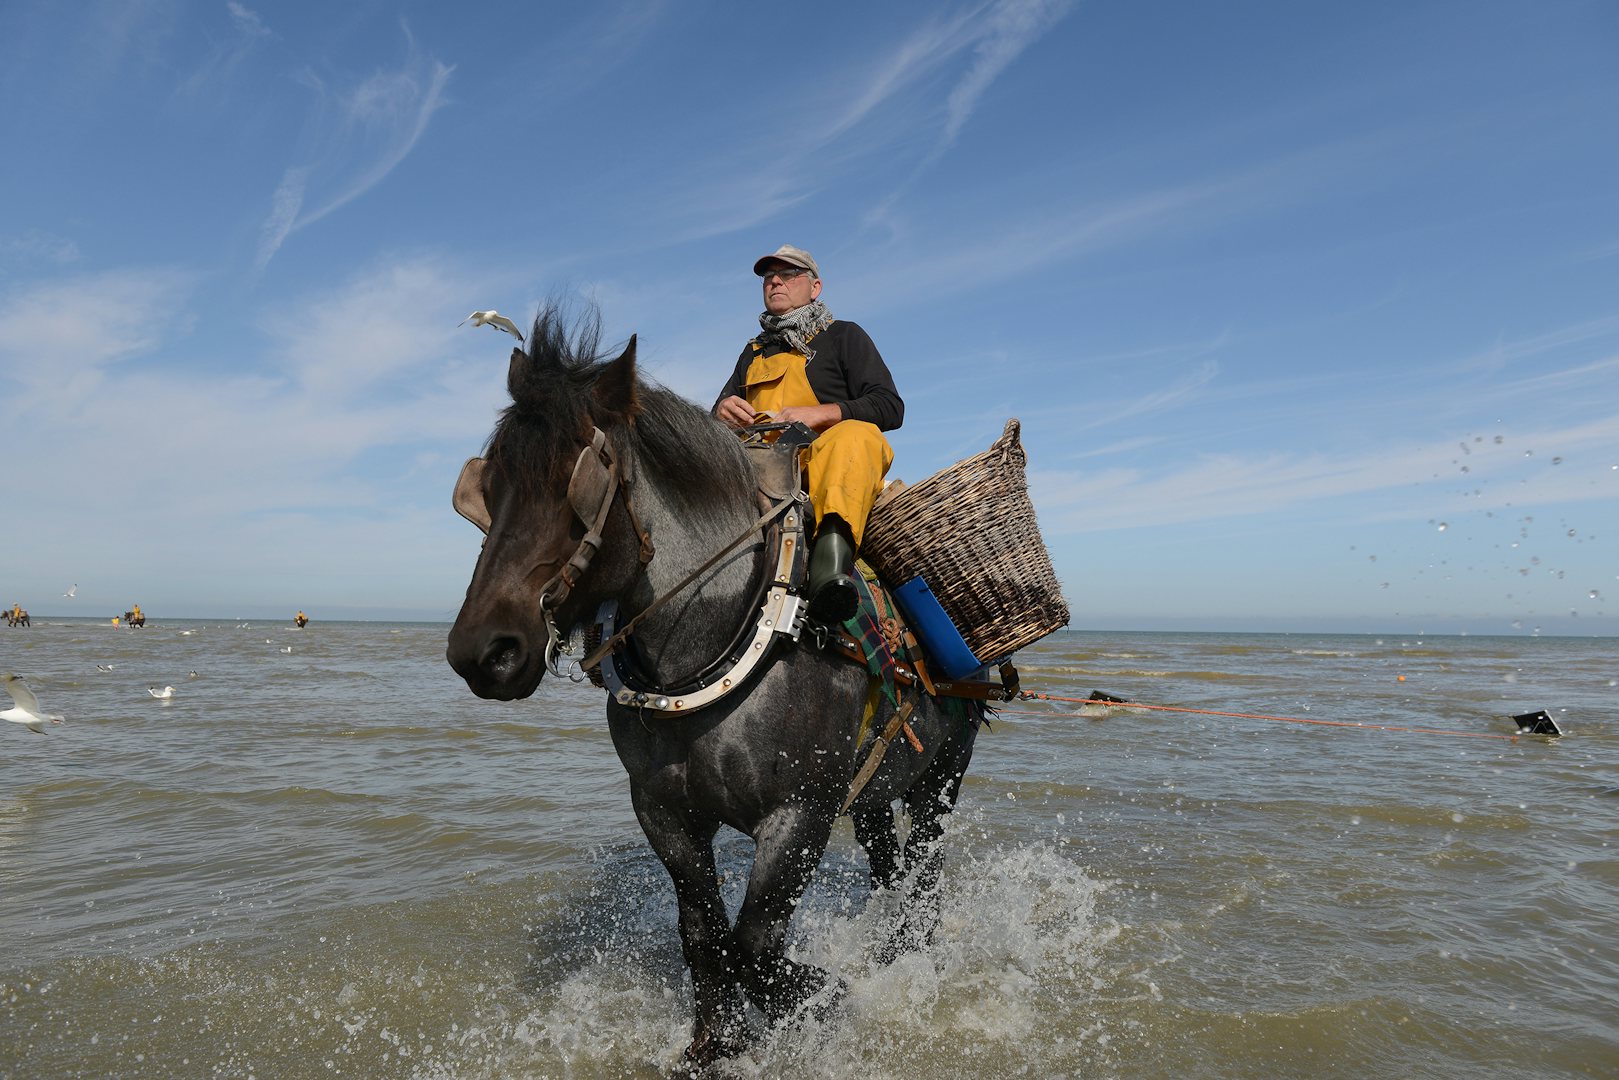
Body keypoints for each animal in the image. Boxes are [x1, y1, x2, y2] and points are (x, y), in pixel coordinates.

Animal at [443, 306, 977, 1062]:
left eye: (573, 486)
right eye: (484, 492)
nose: (481, 651)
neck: (722, 635)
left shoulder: (799, 813)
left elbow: (754, 947)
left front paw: (821, 996)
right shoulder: (665, 812)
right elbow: (704, 938)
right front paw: (715, 1044)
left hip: (944, 772)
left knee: (925, 876)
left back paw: (915, 959)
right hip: (877, 784)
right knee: (889, 869)